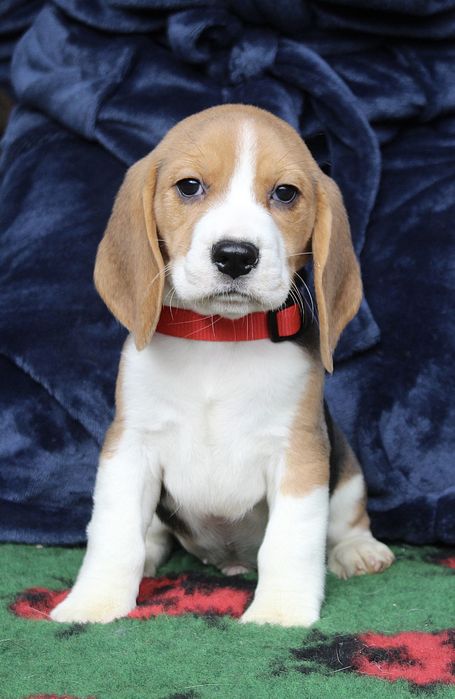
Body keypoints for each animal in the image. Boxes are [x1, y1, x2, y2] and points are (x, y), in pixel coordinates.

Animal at [51, 104, 394, 627]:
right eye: (190, 186)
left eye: (285, 193)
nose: (235, 255)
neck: (220, 338)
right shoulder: (129, 447)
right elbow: (114, 535)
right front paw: (94, 602)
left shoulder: (300, 452)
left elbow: (290, 541)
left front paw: (280, 610)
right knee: (153, 533)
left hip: (347, 470)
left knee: (345, 519)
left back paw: (357, 550)